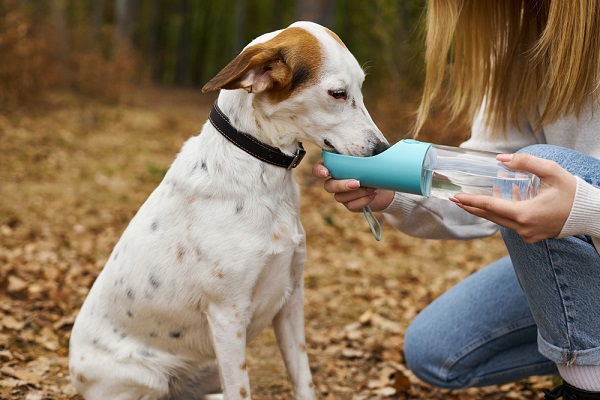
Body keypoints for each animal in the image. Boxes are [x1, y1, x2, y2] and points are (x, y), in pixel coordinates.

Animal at [70, 21, 390, 400]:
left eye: (361, 88)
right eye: (338, 93)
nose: (383, 149)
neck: (260, 168)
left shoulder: (291, 301)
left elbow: (303, 380)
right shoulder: (228, 316)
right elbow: (241, 390)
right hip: (147, 379)